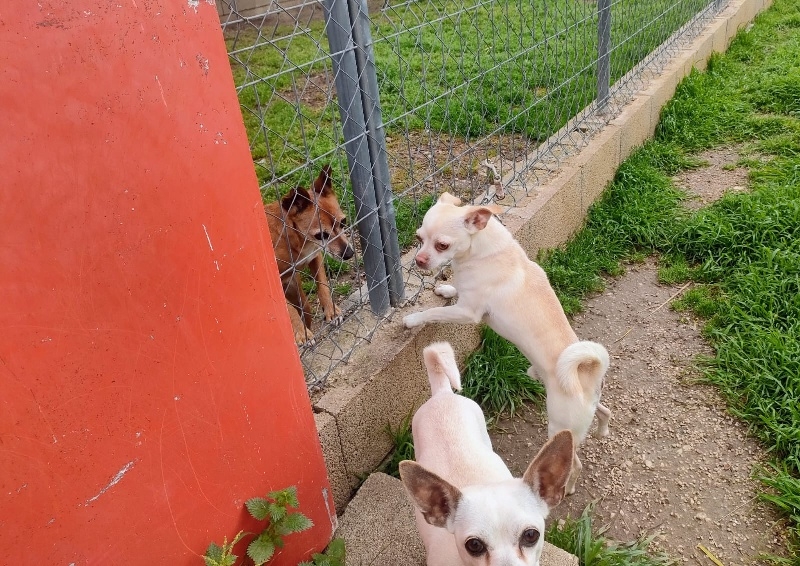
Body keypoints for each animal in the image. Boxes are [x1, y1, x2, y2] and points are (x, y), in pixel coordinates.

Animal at [265, 165, 354, 345]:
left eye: (343, 222)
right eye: (321, 234)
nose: (349, 253)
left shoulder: (315, 256)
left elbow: (323, 284)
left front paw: (331, 309)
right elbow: (289, 310)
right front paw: (301, 333)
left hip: (298, 294)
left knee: (305, 309)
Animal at [402, 192, 610, 494]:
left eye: (442, 245)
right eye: (418, 238)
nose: (418, 260)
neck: (480, 253)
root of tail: (588, 370)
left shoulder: (468, 312)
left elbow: (434, 313)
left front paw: (412, 318)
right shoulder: (464, 298)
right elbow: (454, 291)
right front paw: (445, 288)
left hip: (560, 424)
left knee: (576, 464)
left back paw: (569, 487)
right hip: (587, 411)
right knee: (605, 412)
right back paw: (603, 429)